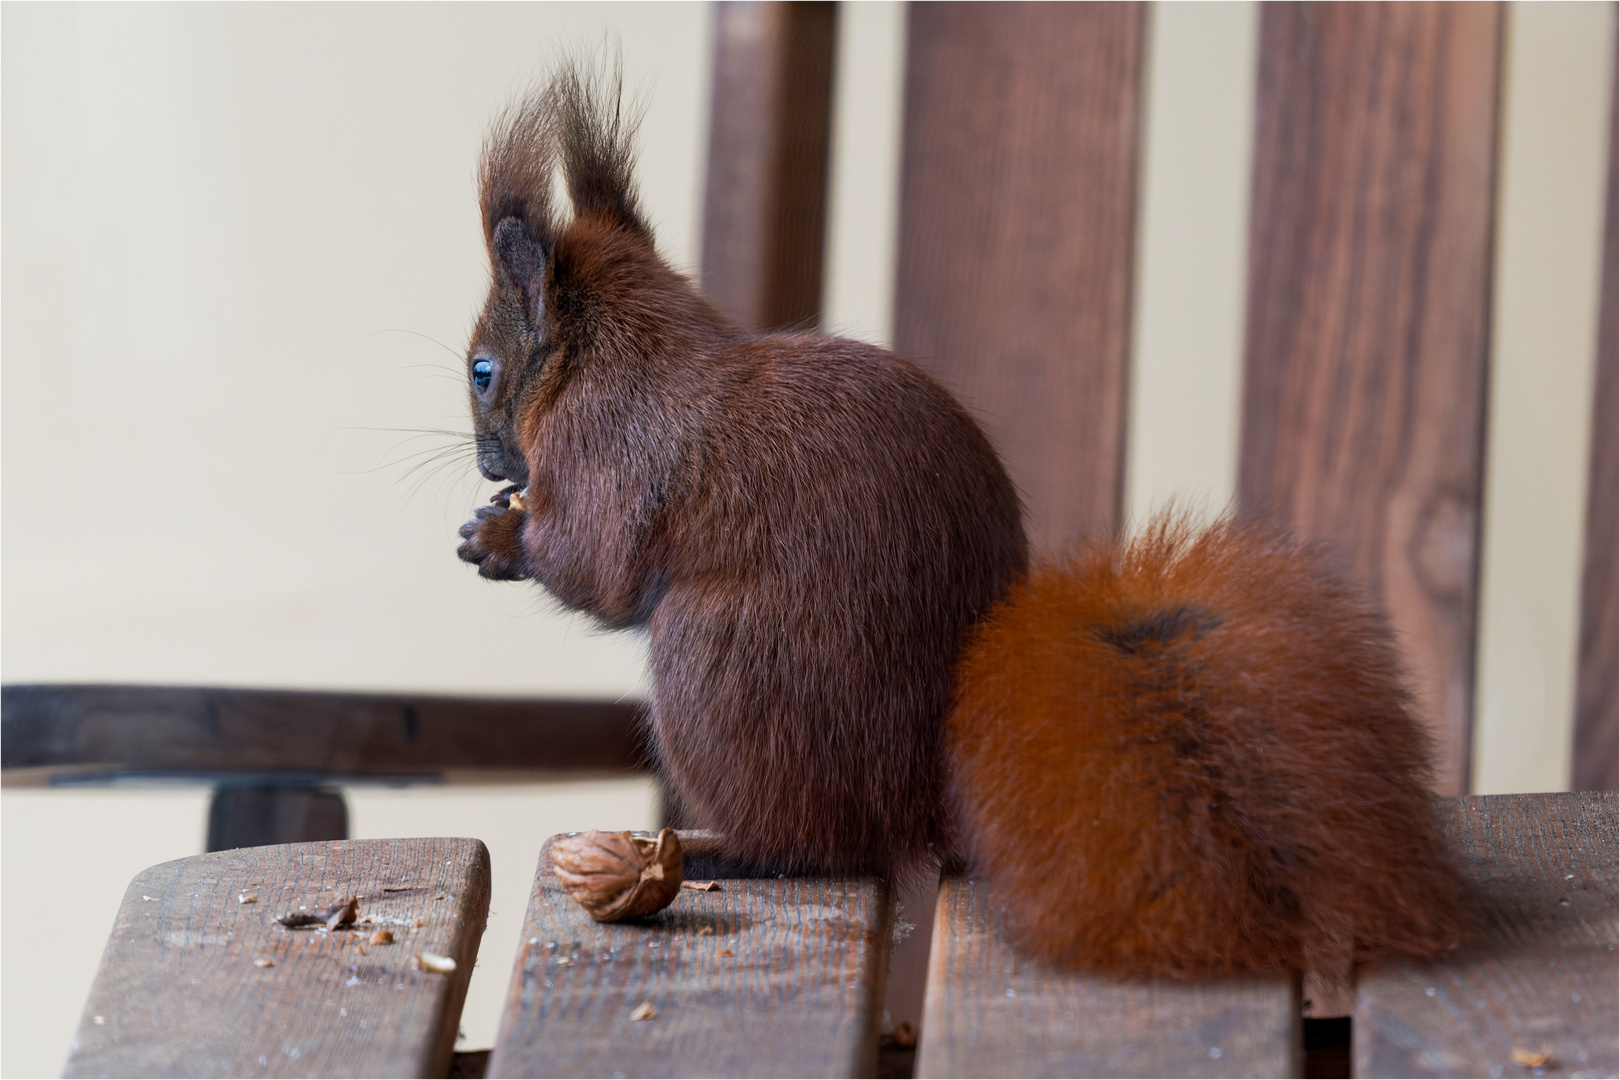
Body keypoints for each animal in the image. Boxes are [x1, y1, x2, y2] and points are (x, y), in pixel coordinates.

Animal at [456, 69, 1470, 977]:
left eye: (482, 371)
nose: (490, 466)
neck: (626, 356)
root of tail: (924, 803)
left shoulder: (607, 453)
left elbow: (597, 567)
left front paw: (498, 540)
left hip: (717, 670)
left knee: (814, 847)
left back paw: (720, 848)